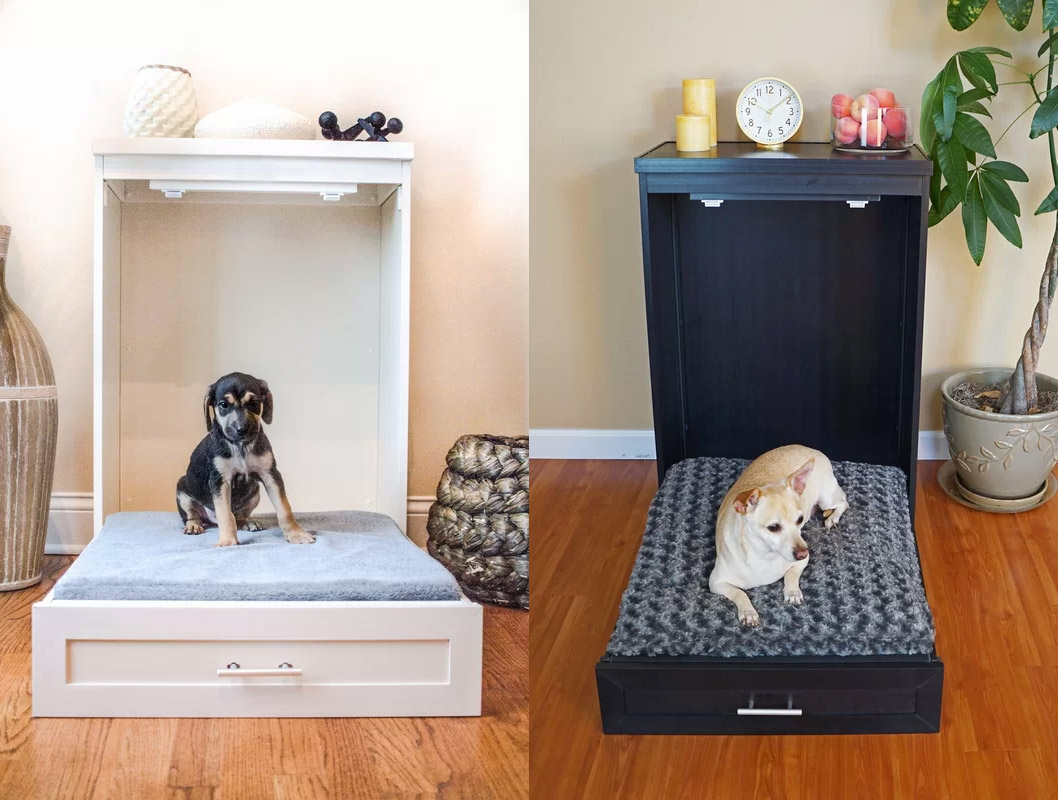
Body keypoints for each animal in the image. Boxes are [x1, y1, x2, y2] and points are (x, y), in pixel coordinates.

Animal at [173, 372, 311, 546]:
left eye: (254, 403)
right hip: (182, 491)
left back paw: (246, 522)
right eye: (223, 405)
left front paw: (296, 534)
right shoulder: (220, 480)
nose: (242, 429)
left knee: (238, 516)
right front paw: (227, 541)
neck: (241, 446)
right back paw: (193, 526)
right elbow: (225, 514)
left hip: (255, 494)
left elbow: (284, 508)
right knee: (192, 515)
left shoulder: (271, 475)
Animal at [706, 444, 846, 626]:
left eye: (800, 520)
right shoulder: (716, 582)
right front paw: (748, 612)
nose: (802, 553)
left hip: (826, 497)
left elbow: (791, 574)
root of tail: (810, 448)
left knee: (843, 502)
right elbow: (739, 593)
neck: (764, 556)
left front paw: (792, 592)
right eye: (773, 527)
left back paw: (833, 517)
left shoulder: (803, 562)